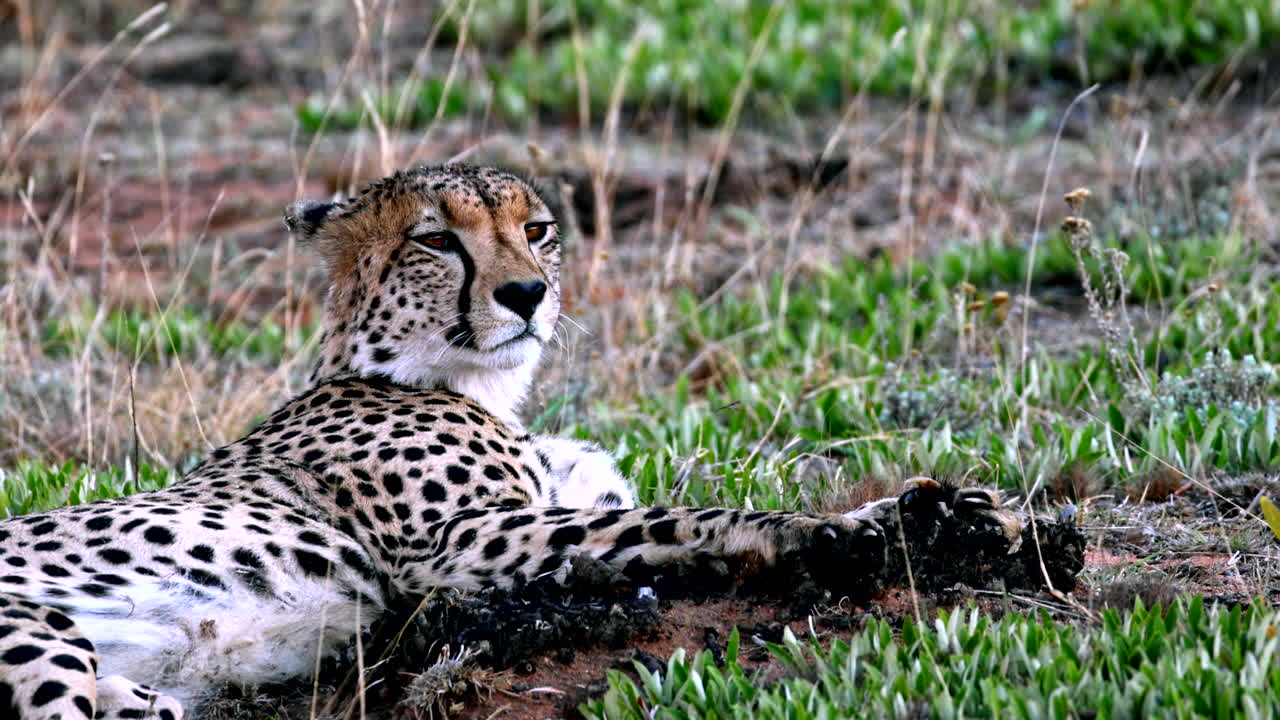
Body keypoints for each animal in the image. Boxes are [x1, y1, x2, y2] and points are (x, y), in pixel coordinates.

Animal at [0, 164, 1021, 719]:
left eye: (536, 229)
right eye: (436, 242)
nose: (526, 293)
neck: (470, 383)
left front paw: (942, 510)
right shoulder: (454, 549)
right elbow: (681, 518)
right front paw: (823, 532)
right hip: (29, 632)